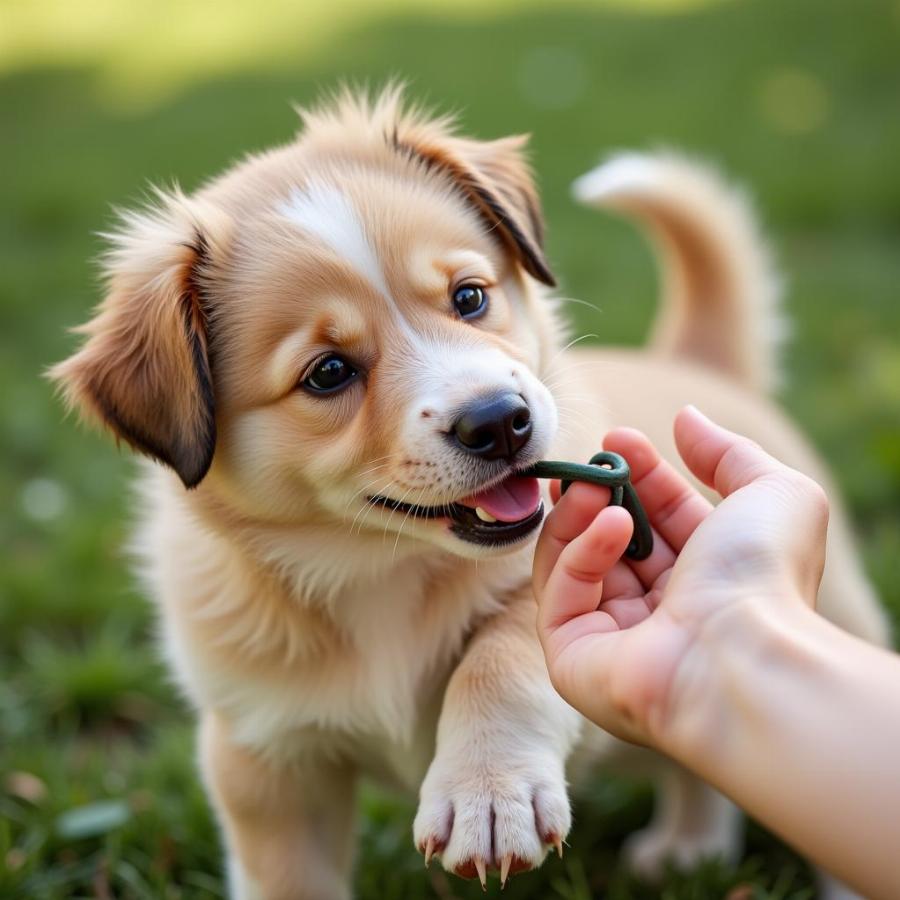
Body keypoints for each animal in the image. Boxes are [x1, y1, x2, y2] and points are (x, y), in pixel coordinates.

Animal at [52, 86, 888, 900]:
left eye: (470, 298)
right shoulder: (265, 760)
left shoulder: (551, 577)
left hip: (838, 614)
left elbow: (500, 652)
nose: (499, 422)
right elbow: (287, 877)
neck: (373, 568)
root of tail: (695, 364)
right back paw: (691, 848)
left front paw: (487, 794)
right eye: (328, 372)